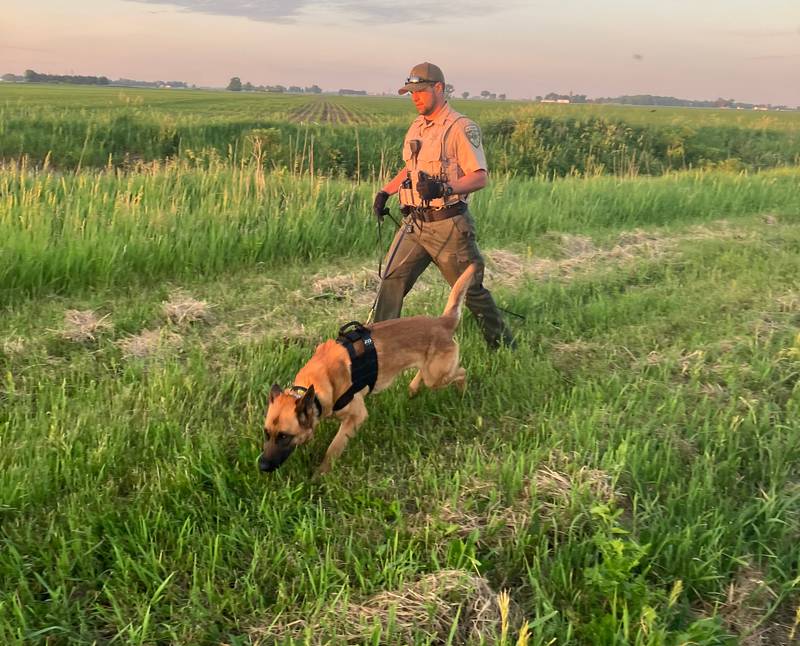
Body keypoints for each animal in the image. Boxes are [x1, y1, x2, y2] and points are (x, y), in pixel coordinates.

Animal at [260, 264, 476, 476]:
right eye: (266, 433)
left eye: (284, 436)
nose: (261, 466)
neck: (317, 387)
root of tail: (443, 322)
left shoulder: (356, 417)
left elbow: (333, 448)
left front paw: (320, 474)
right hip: (431, 372)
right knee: (424, 374)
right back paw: (413, 390)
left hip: (437, 378)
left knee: (462, 372)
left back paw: (462, 393)